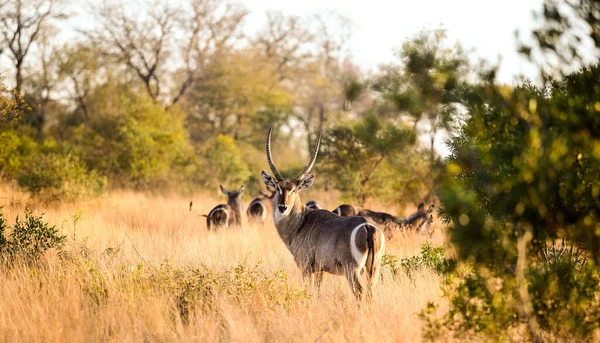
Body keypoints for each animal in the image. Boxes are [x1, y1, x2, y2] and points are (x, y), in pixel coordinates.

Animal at [262, 127, 384, 300]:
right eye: (278, 188)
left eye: (294, 190)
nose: (282, 207)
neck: (301, 222)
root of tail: (367, 226)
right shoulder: (322, 270)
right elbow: (318, 291)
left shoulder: (306, 267)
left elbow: (307, 290)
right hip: (373, 269)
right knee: (370, 293)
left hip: (352, 270)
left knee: (359, 292)